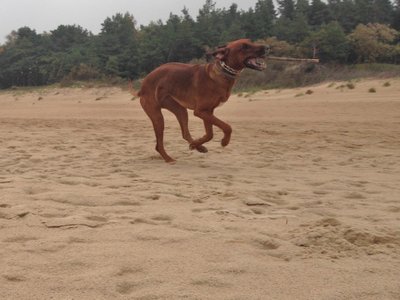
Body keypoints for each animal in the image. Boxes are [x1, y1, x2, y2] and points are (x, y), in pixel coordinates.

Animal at [137, 39, 266, 163]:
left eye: (250, 41)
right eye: (244, 47)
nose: (266, 47)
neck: (222, 73)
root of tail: (142, 85)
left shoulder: (208, 112)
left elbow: (210, 134)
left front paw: (195, 145)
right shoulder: (200, 111)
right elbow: (227, 127)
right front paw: (224, 141)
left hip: (180, 110)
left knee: (185, 133)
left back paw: (197, 147)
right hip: (157, 116)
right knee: (159, 145)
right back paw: (169, 159)